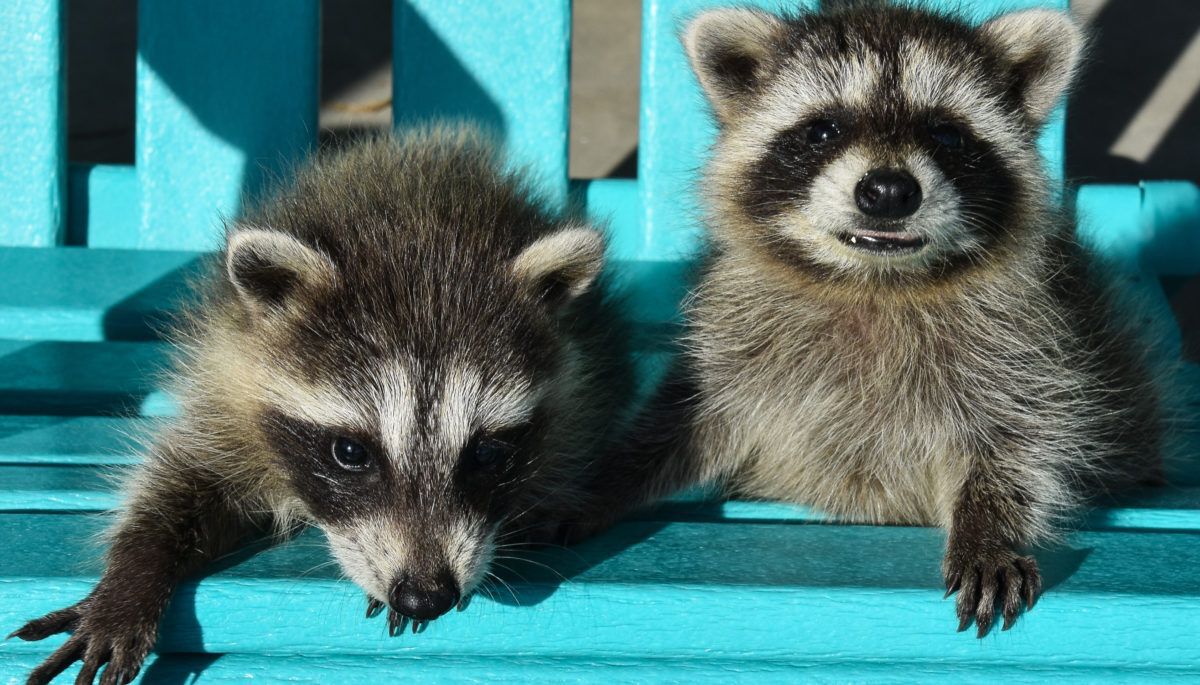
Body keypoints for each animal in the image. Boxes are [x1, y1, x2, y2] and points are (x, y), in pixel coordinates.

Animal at [12, 126, 633, 684]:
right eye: (351, 452)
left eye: (486, 453)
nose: (424, 594)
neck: (420, 226)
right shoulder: (226, 386)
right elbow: (181, 476)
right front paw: (134, 574)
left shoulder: (580, 393)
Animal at [570, 3, 1164, 636]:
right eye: (822, 129)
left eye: (947, 133)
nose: (888, 190)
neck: (875, 281)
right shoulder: (731, 339)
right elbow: (684, 422)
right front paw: (609, 479)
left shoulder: (1027, 343)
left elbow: (1019, 440)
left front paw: (990, 528)